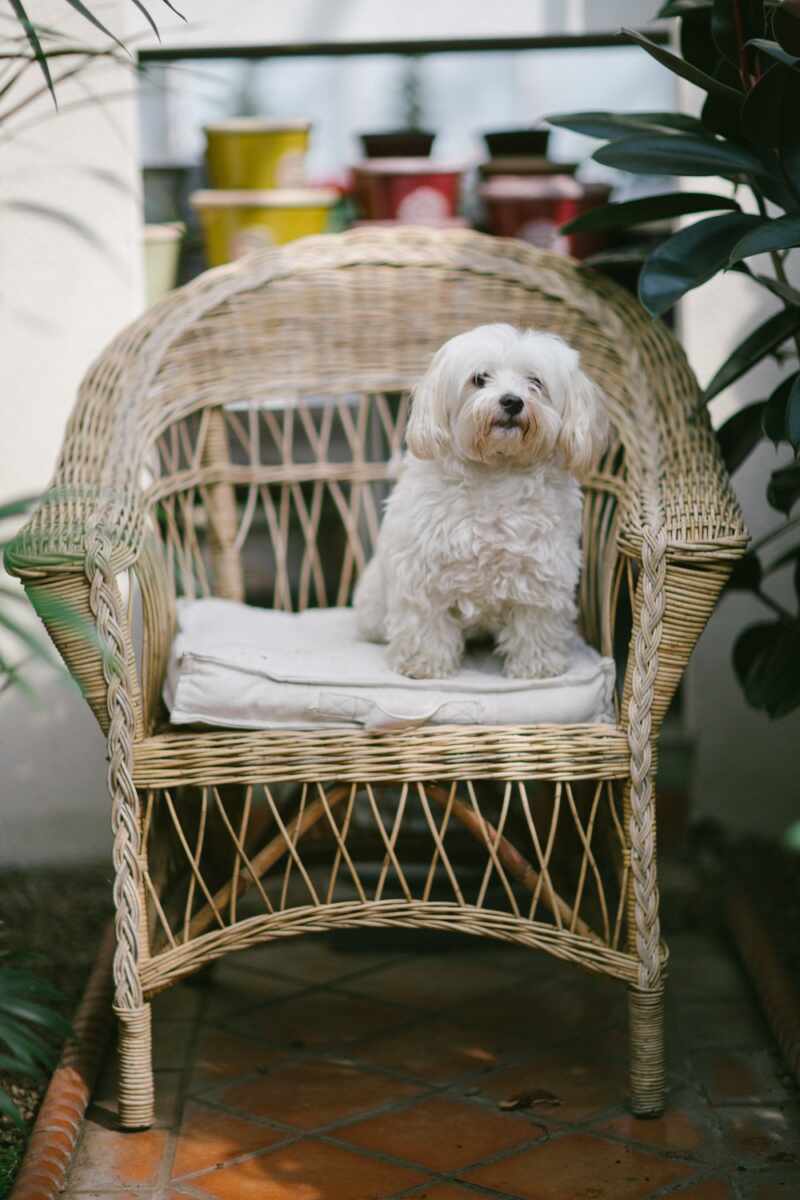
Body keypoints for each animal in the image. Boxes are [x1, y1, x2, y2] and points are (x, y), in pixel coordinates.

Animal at [352, 324, 609, 681]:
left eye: (535, 381)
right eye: (479, 378)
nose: (512, 401)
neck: (496, 473)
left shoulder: (542, 573)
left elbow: (536, 624)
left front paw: (537, 666)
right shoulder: (422, 573)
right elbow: (425, 622)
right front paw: (423, 665)